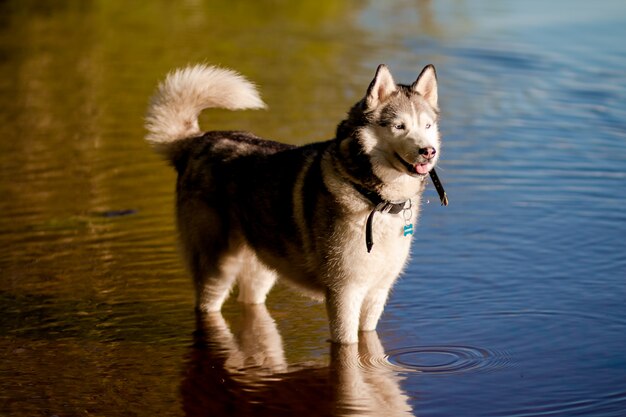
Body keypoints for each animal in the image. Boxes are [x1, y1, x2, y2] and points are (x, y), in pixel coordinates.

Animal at [144, 61, 442, 342]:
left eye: (427, 126)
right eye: (399, 126)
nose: (428, 151)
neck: (375, 199)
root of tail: (196, 141)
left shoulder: (377, 291)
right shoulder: (344, 292)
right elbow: (349, 347)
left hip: (262, 267)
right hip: (217, 271)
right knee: (208, 305)